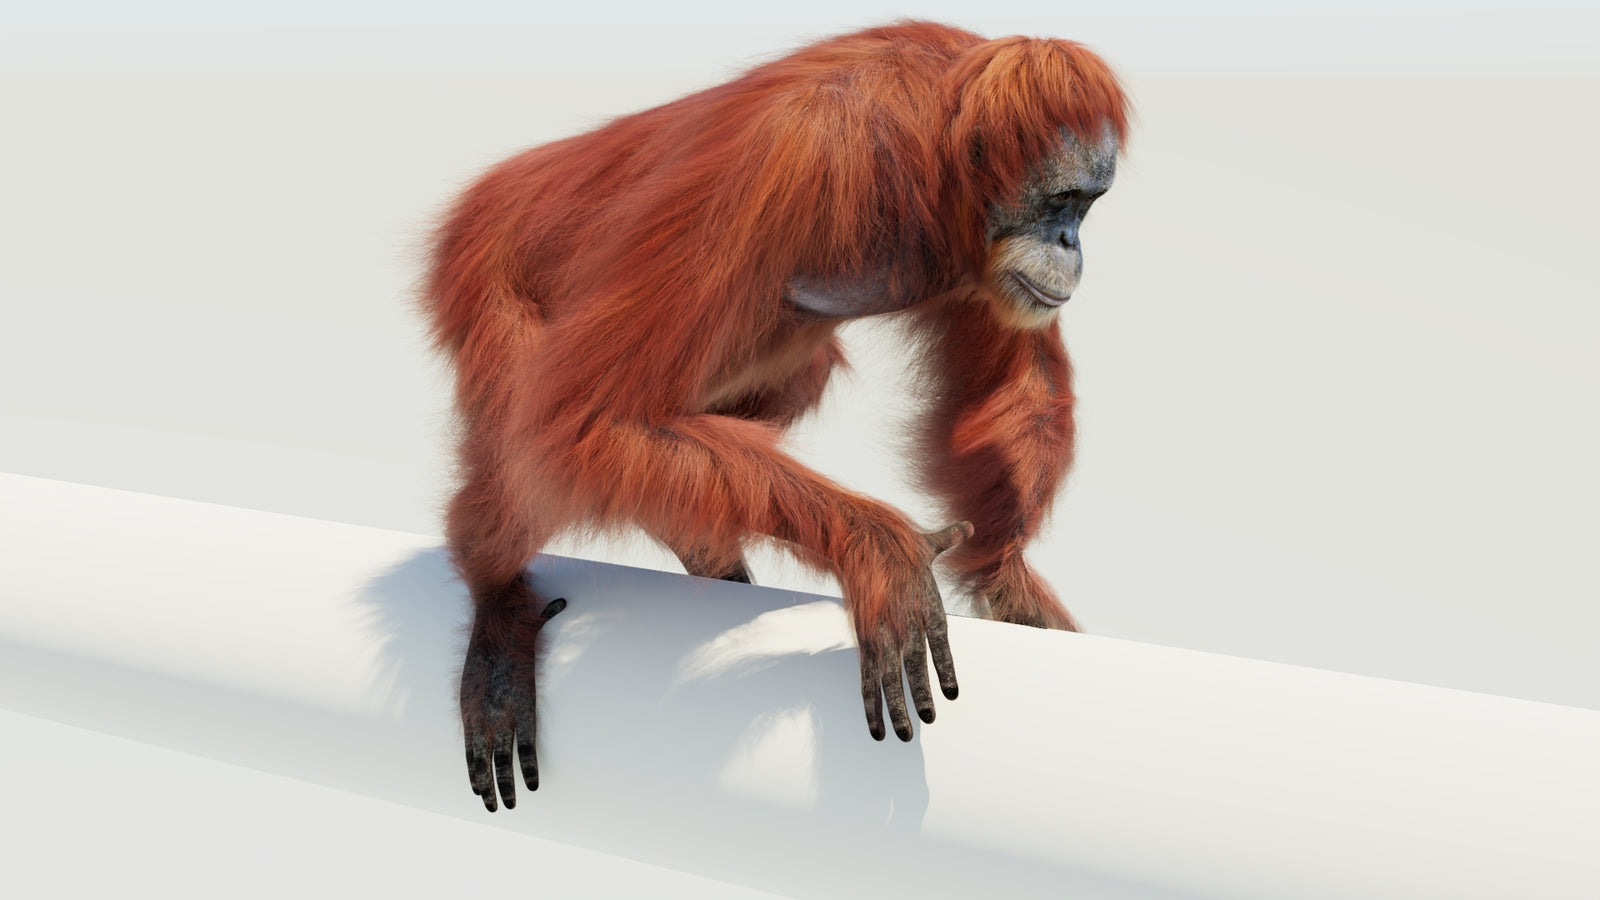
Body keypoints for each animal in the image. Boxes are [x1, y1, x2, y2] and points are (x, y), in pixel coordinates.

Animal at [422, 20, 1128, 811]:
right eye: (1059, 201)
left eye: (1087, 205)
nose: (1071, 243)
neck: (931, 146)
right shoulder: (792, 156)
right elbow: (581, 417)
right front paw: (879, 550)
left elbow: (1014, 379)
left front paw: (1005, 577)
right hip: (486, 275)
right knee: (533, 438)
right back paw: (496, 603)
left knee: (784, 378)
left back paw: (696, 545)